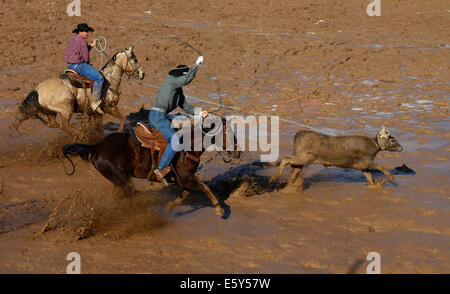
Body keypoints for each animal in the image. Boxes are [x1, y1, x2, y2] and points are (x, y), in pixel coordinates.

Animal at [13, 45, 144, 135]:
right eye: (135, 60)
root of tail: (37, 91)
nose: (142, 74)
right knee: (65, 126)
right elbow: (123, 119)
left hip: (51, 113)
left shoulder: (95, 113)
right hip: (66, 110)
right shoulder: (109, 107)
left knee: (54, 125)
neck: (108, 80)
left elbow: (101, 128)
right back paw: (79, 135)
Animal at [62, 112, 243, 216]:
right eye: (229, 132)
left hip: (118, 180)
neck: (189, 145)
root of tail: (96, 147)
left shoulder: (181, 180)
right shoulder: (185, 177)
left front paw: (171, 205)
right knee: (131, 194)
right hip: (122, 179)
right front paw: (219, 209)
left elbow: (186, 193)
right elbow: (205, 187)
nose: (238, 151)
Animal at [270, 126, 404, 188]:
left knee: (294, 170)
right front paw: (391, 177)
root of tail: (299, 134)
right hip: (304, 158)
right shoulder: (367, 162)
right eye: (392, 140)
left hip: (301, 160)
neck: (373, 145)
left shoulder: (363, 167)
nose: (401, 148)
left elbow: (369, 177)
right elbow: (380, 166)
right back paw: (274, 178)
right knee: (285, 159)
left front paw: (373, 185)